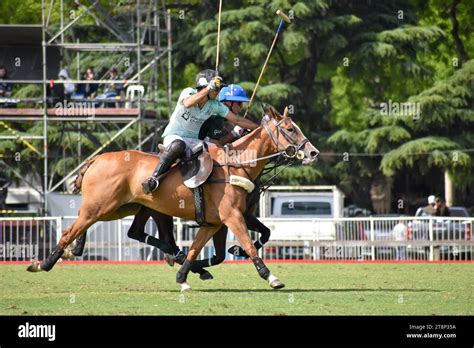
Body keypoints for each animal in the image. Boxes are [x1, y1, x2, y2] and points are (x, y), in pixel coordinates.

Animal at [27, 105, 320, 290]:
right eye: (290, 129)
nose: (313, 153)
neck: (238, 165)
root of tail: (97, 158)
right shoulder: (232, 216)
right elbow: (249, 244)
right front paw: (271, 277)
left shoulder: (215, 222)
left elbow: (197, 249)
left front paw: (184, 275)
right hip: (101, 206)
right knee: (70, 230)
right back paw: (44, 264)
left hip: (121, 208)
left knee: (126, 231)